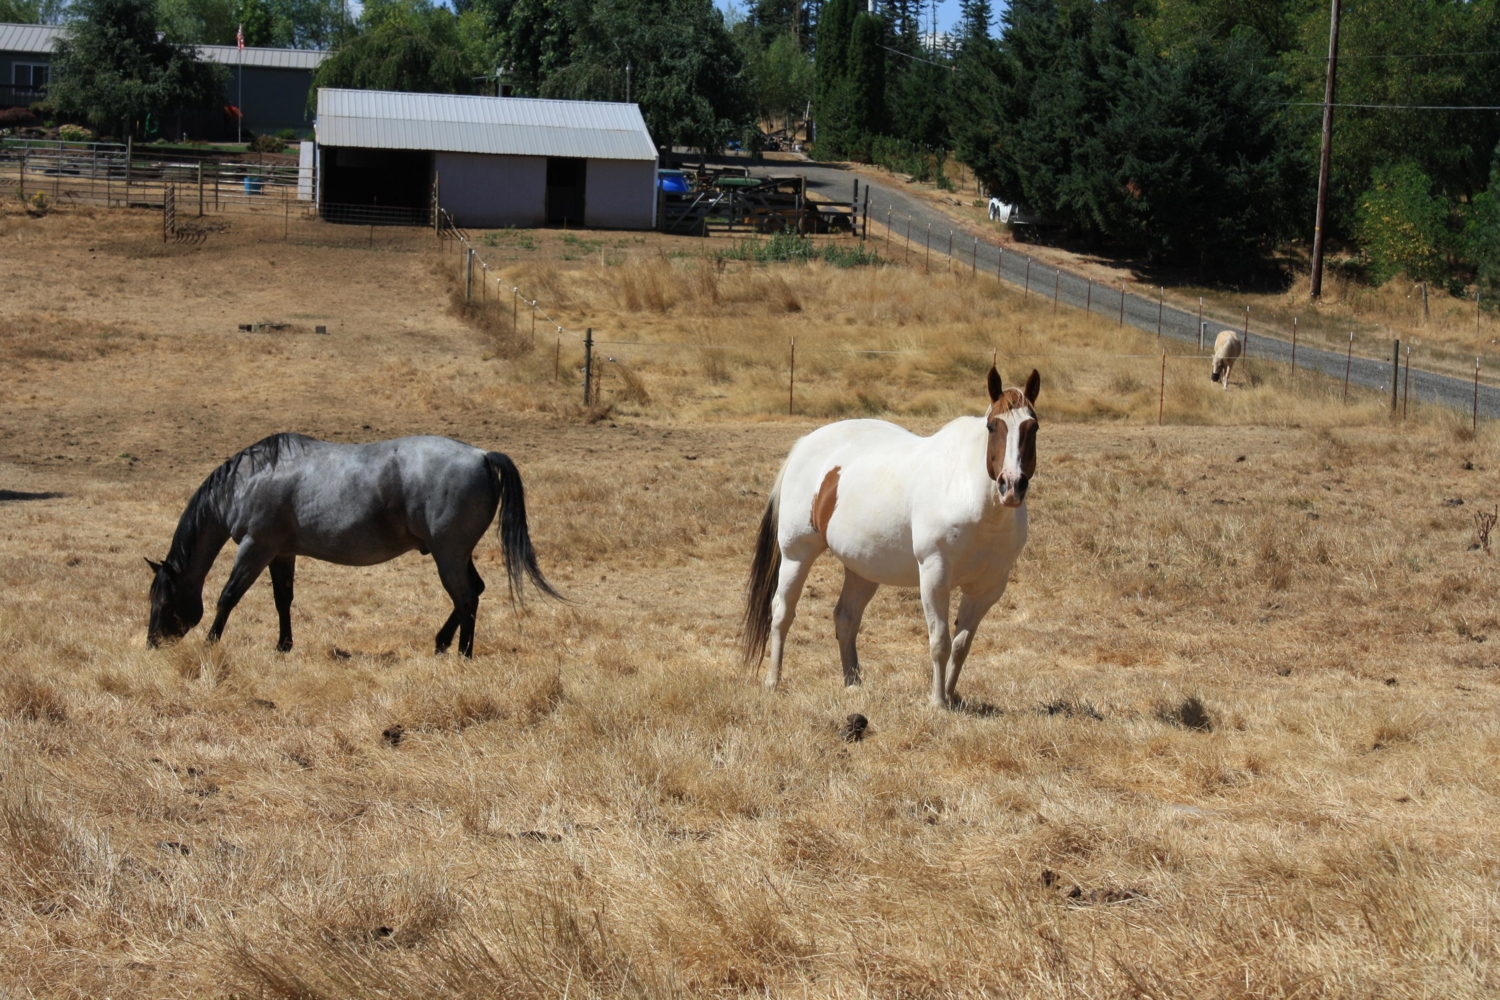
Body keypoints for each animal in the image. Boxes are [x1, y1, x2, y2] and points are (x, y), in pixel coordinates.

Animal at [147, 431, 558, 656]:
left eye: (164, 601)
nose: (152, 643)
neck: (251, 478)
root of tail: (482, 456)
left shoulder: (255, 548)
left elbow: (228, 597)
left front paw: (210, 643)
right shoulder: (281, 552)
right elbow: (283, 600)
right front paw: (283, 646)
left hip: (449, 554)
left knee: (466, 597)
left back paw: (463, 653)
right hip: (455, 554)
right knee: (474, 592)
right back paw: (442, 642)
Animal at [741, 364, 1044, 707]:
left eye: (1033, 427)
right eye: (993, 427)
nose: (1011, 485)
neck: (968, 493)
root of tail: (805, 444)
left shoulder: (987, 588)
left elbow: (961, 645)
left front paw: (951, 696)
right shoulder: (935, 573)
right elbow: (940, 641)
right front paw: (937, 702)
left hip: (862, 568)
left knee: (846, 618)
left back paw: (853, 683)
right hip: (796, 555)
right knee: (782, 613)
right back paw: (773, 681)